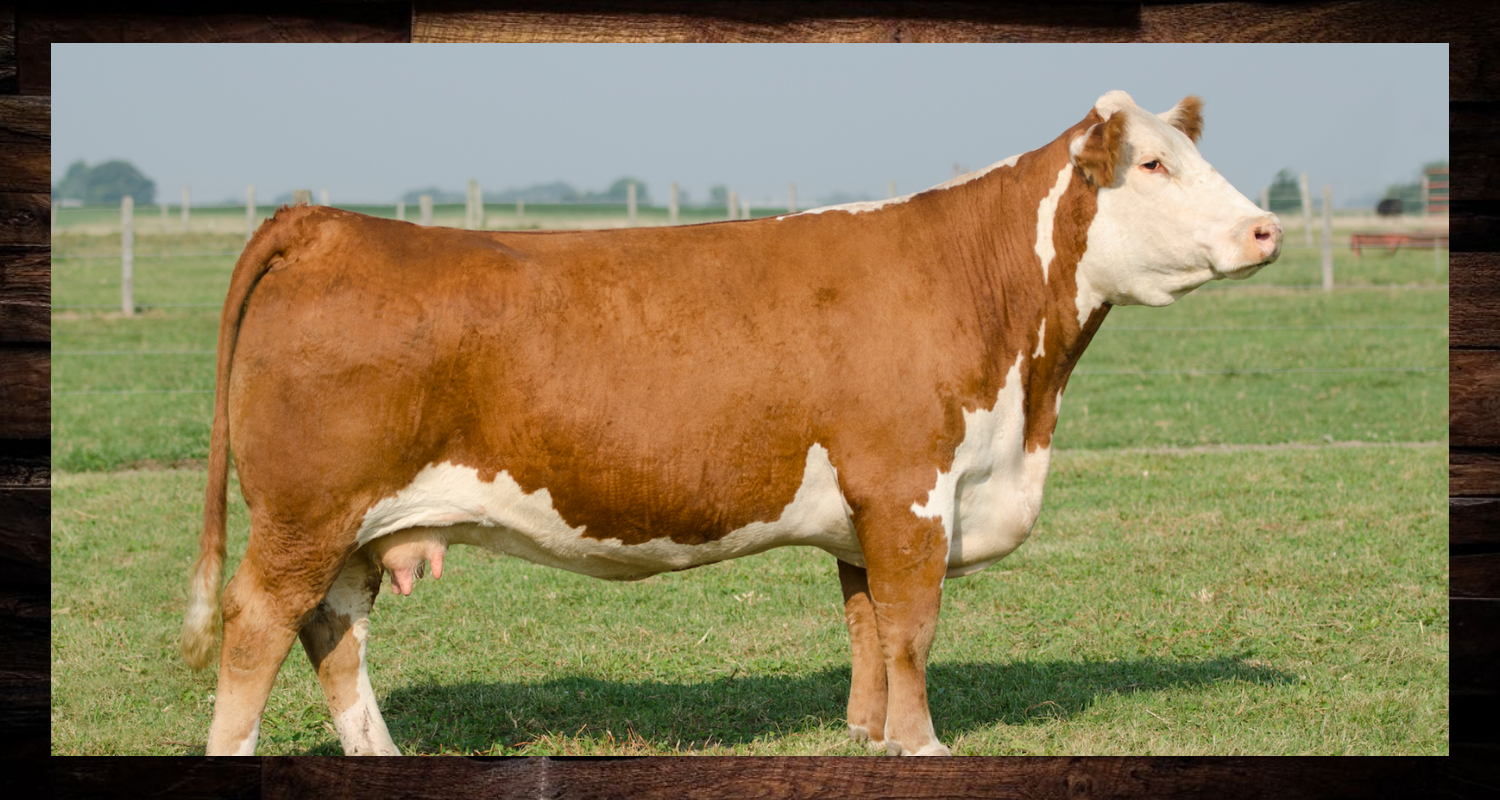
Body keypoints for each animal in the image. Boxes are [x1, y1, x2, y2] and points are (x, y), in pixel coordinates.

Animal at [181, 90, 1281, 756]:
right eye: (1152, 166)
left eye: (1190, 153)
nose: (1266, 228)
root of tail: (328, 222)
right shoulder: (910, 490)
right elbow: (913, 627)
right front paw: (923, 745)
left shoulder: (864, 516)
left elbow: (867, 628)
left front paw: (869, 737)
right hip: (305, 513)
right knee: (257, 627)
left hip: (352, 528)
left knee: (335, 631)